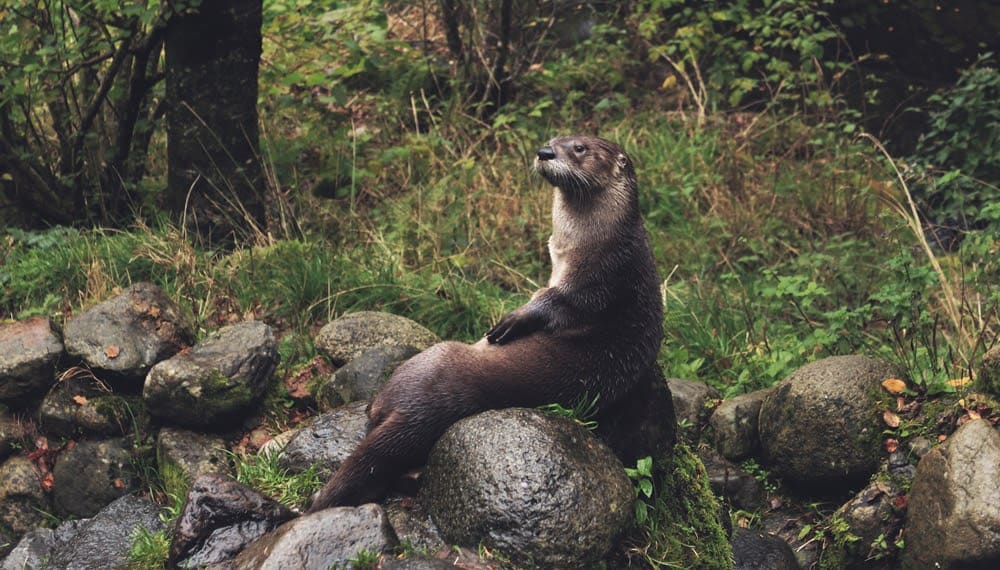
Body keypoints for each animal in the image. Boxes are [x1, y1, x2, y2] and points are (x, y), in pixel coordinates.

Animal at [308, 135, 663, 511]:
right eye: (553, 140)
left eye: (579, 148)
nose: (545, 152)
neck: (600, 240)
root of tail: (417, 412)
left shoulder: (599, 279)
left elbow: (556, 302)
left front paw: (513, 320)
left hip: (429, 360)